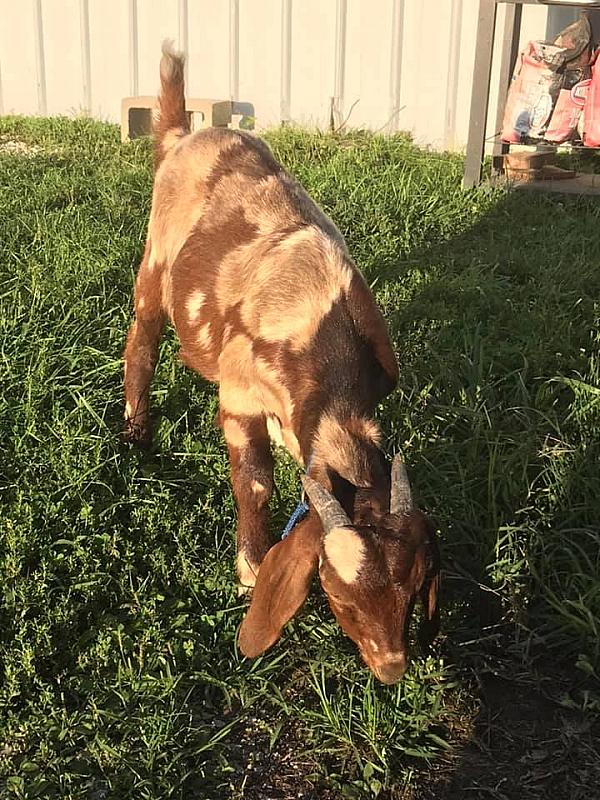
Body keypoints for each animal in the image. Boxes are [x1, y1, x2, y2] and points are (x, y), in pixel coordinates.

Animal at [123, 42, 440, 684]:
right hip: (157, 255)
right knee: (141, 335)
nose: (391, 668)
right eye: (338, 595)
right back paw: (136, 429)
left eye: (415, 587)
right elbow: (255, 482)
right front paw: (249, 568)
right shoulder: (240, 393)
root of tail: (185, 135)